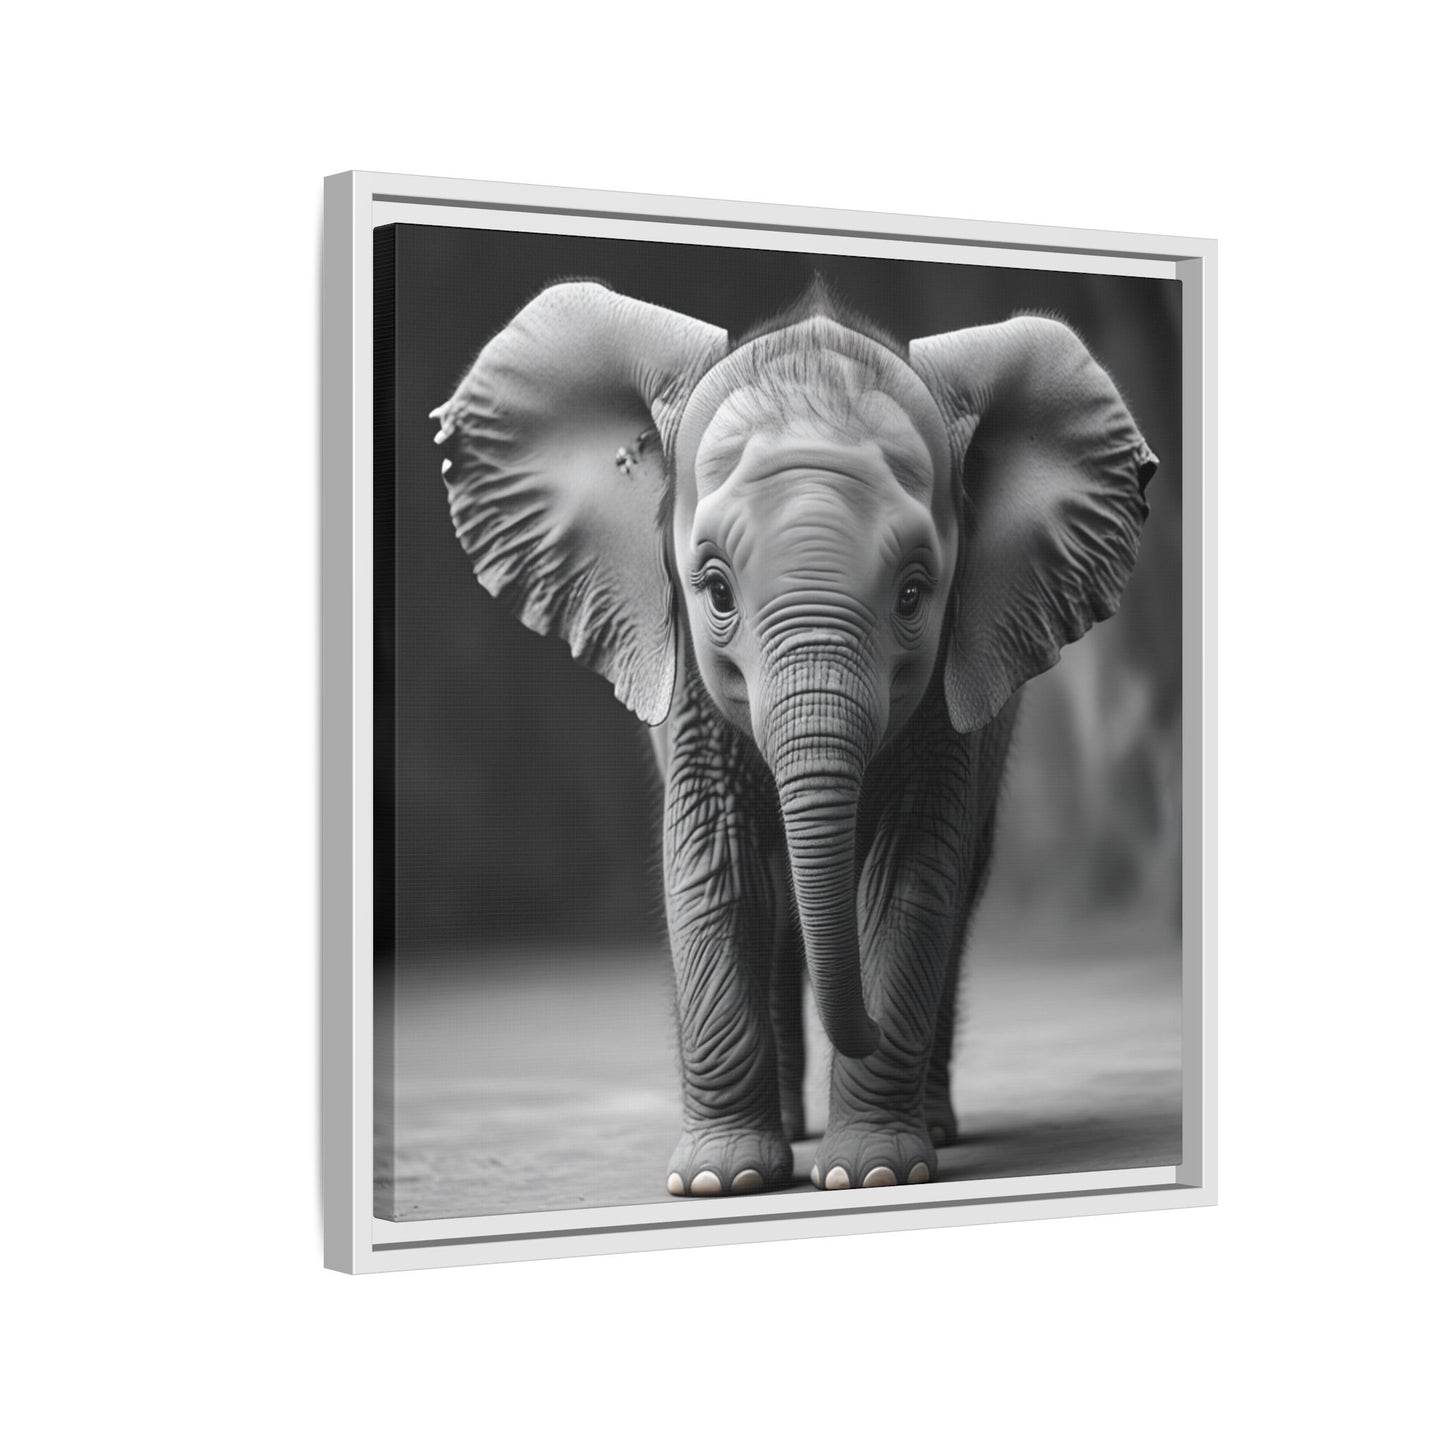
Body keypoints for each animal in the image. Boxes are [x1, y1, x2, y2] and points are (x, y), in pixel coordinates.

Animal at [429, 278, 1156, 1198]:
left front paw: (871, 1171)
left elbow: (909, 874)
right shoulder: (689, 678)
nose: (866, 1028)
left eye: (914, 593)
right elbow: (717, 859)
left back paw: (932, 1126)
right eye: (714, 589)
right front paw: (719, 1182)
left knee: (953, 892)